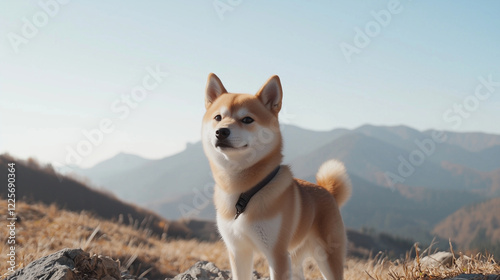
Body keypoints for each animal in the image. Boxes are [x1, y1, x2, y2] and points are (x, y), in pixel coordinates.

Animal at [202, 73, 352, 278]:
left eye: (247, 119)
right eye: (218, 117)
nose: (221, 131)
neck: (242, 192)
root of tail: (327, 191)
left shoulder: (277, 254)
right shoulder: (238, 251)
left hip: (327, 256)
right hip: (294, 258)